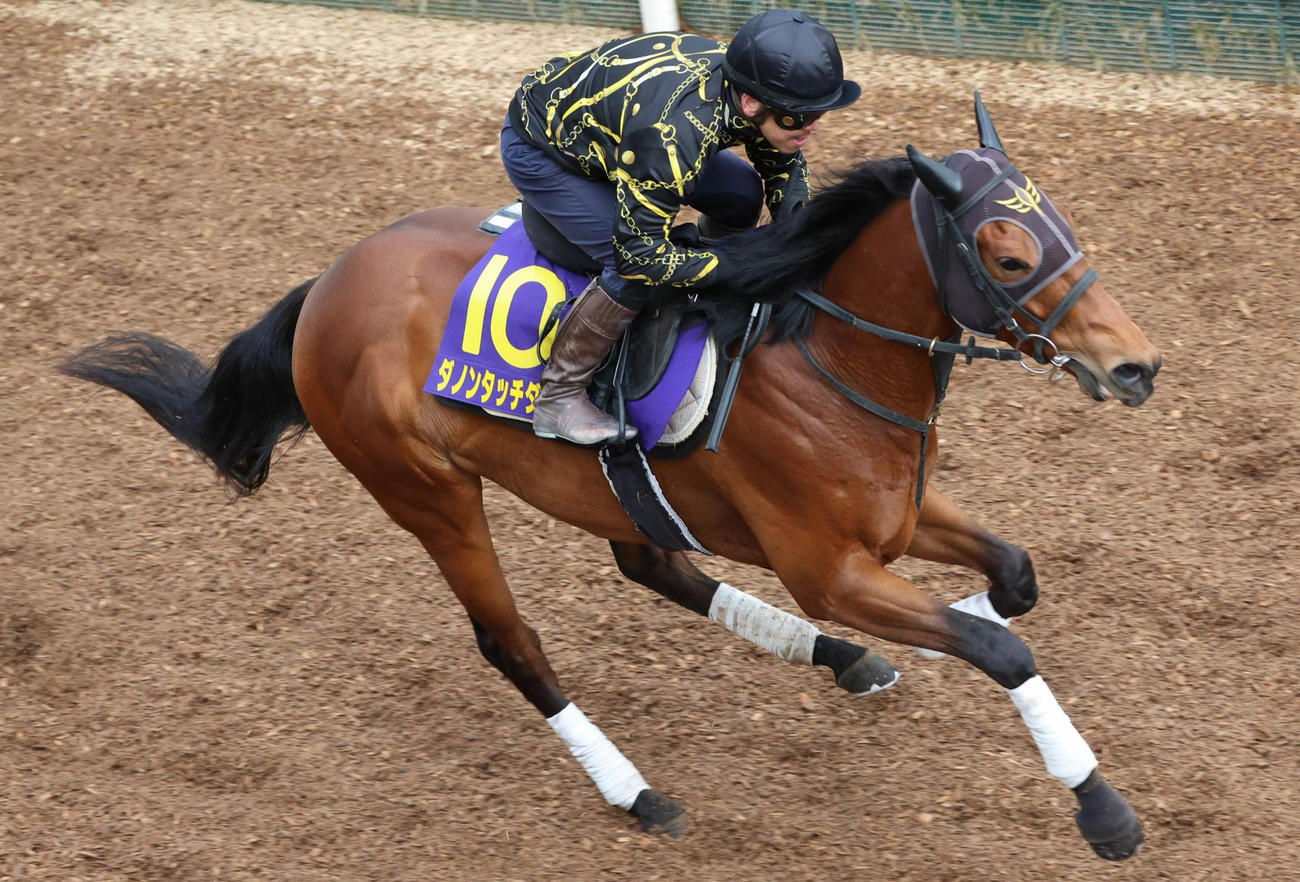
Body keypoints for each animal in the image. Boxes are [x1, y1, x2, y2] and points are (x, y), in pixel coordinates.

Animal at [60, 96, 1160, 859]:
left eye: (1064, 224)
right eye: (1006, 253)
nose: (1135, 365)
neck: (822, 354)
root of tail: (327, 284)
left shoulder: (897, 517)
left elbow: (1013, 577)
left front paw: (960, 619)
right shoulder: (828, 569)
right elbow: (1004, 648)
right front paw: (1101, 809)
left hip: (597, 487)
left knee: (656, 567)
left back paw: (846, 662)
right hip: (426, 491)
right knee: (512, 644)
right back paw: (638, 792)